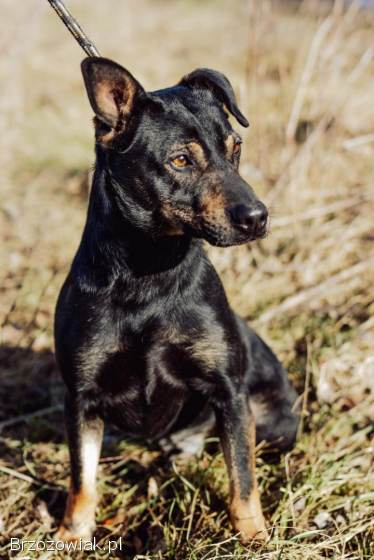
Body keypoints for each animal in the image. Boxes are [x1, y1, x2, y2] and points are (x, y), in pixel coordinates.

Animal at [54, 57, 298, 544]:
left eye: (235, 147)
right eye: (180, 160)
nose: (258, 217)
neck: (148, 276)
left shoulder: (229, 392)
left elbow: (242, 477)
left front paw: (253, 536)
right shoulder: (82, 399)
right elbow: (82, 477)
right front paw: (72, 534)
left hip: (275, 422)